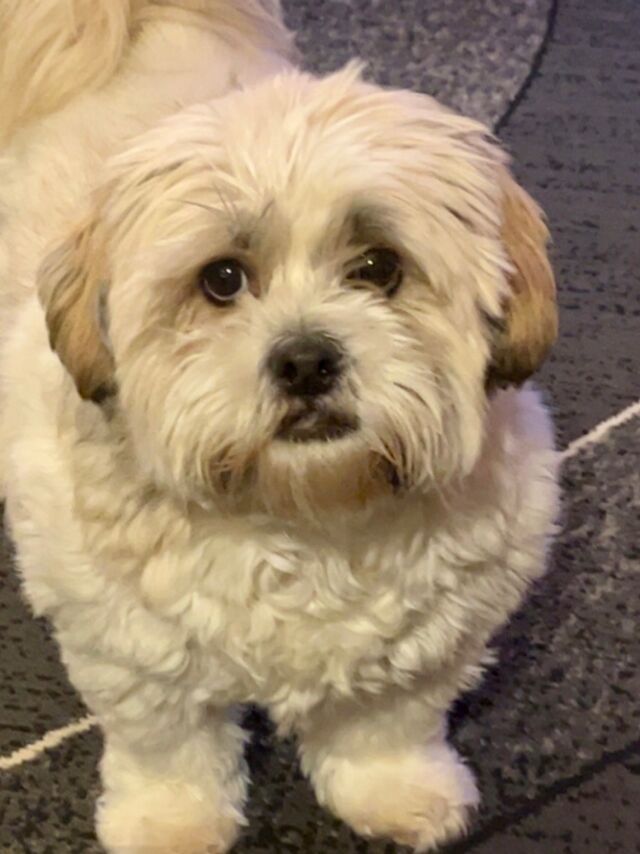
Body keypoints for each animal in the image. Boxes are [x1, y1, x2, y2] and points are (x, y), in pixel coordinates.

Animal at [0, 2, 559, 851]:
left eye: (379, 268)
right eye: (222, 279)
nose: (303, 359)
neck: (304, 516)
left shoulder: (429, 636)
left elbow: (386, 722)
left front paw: (398, 791)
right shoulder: (131, 650)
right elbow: (167, 744)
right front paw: (169, 822)